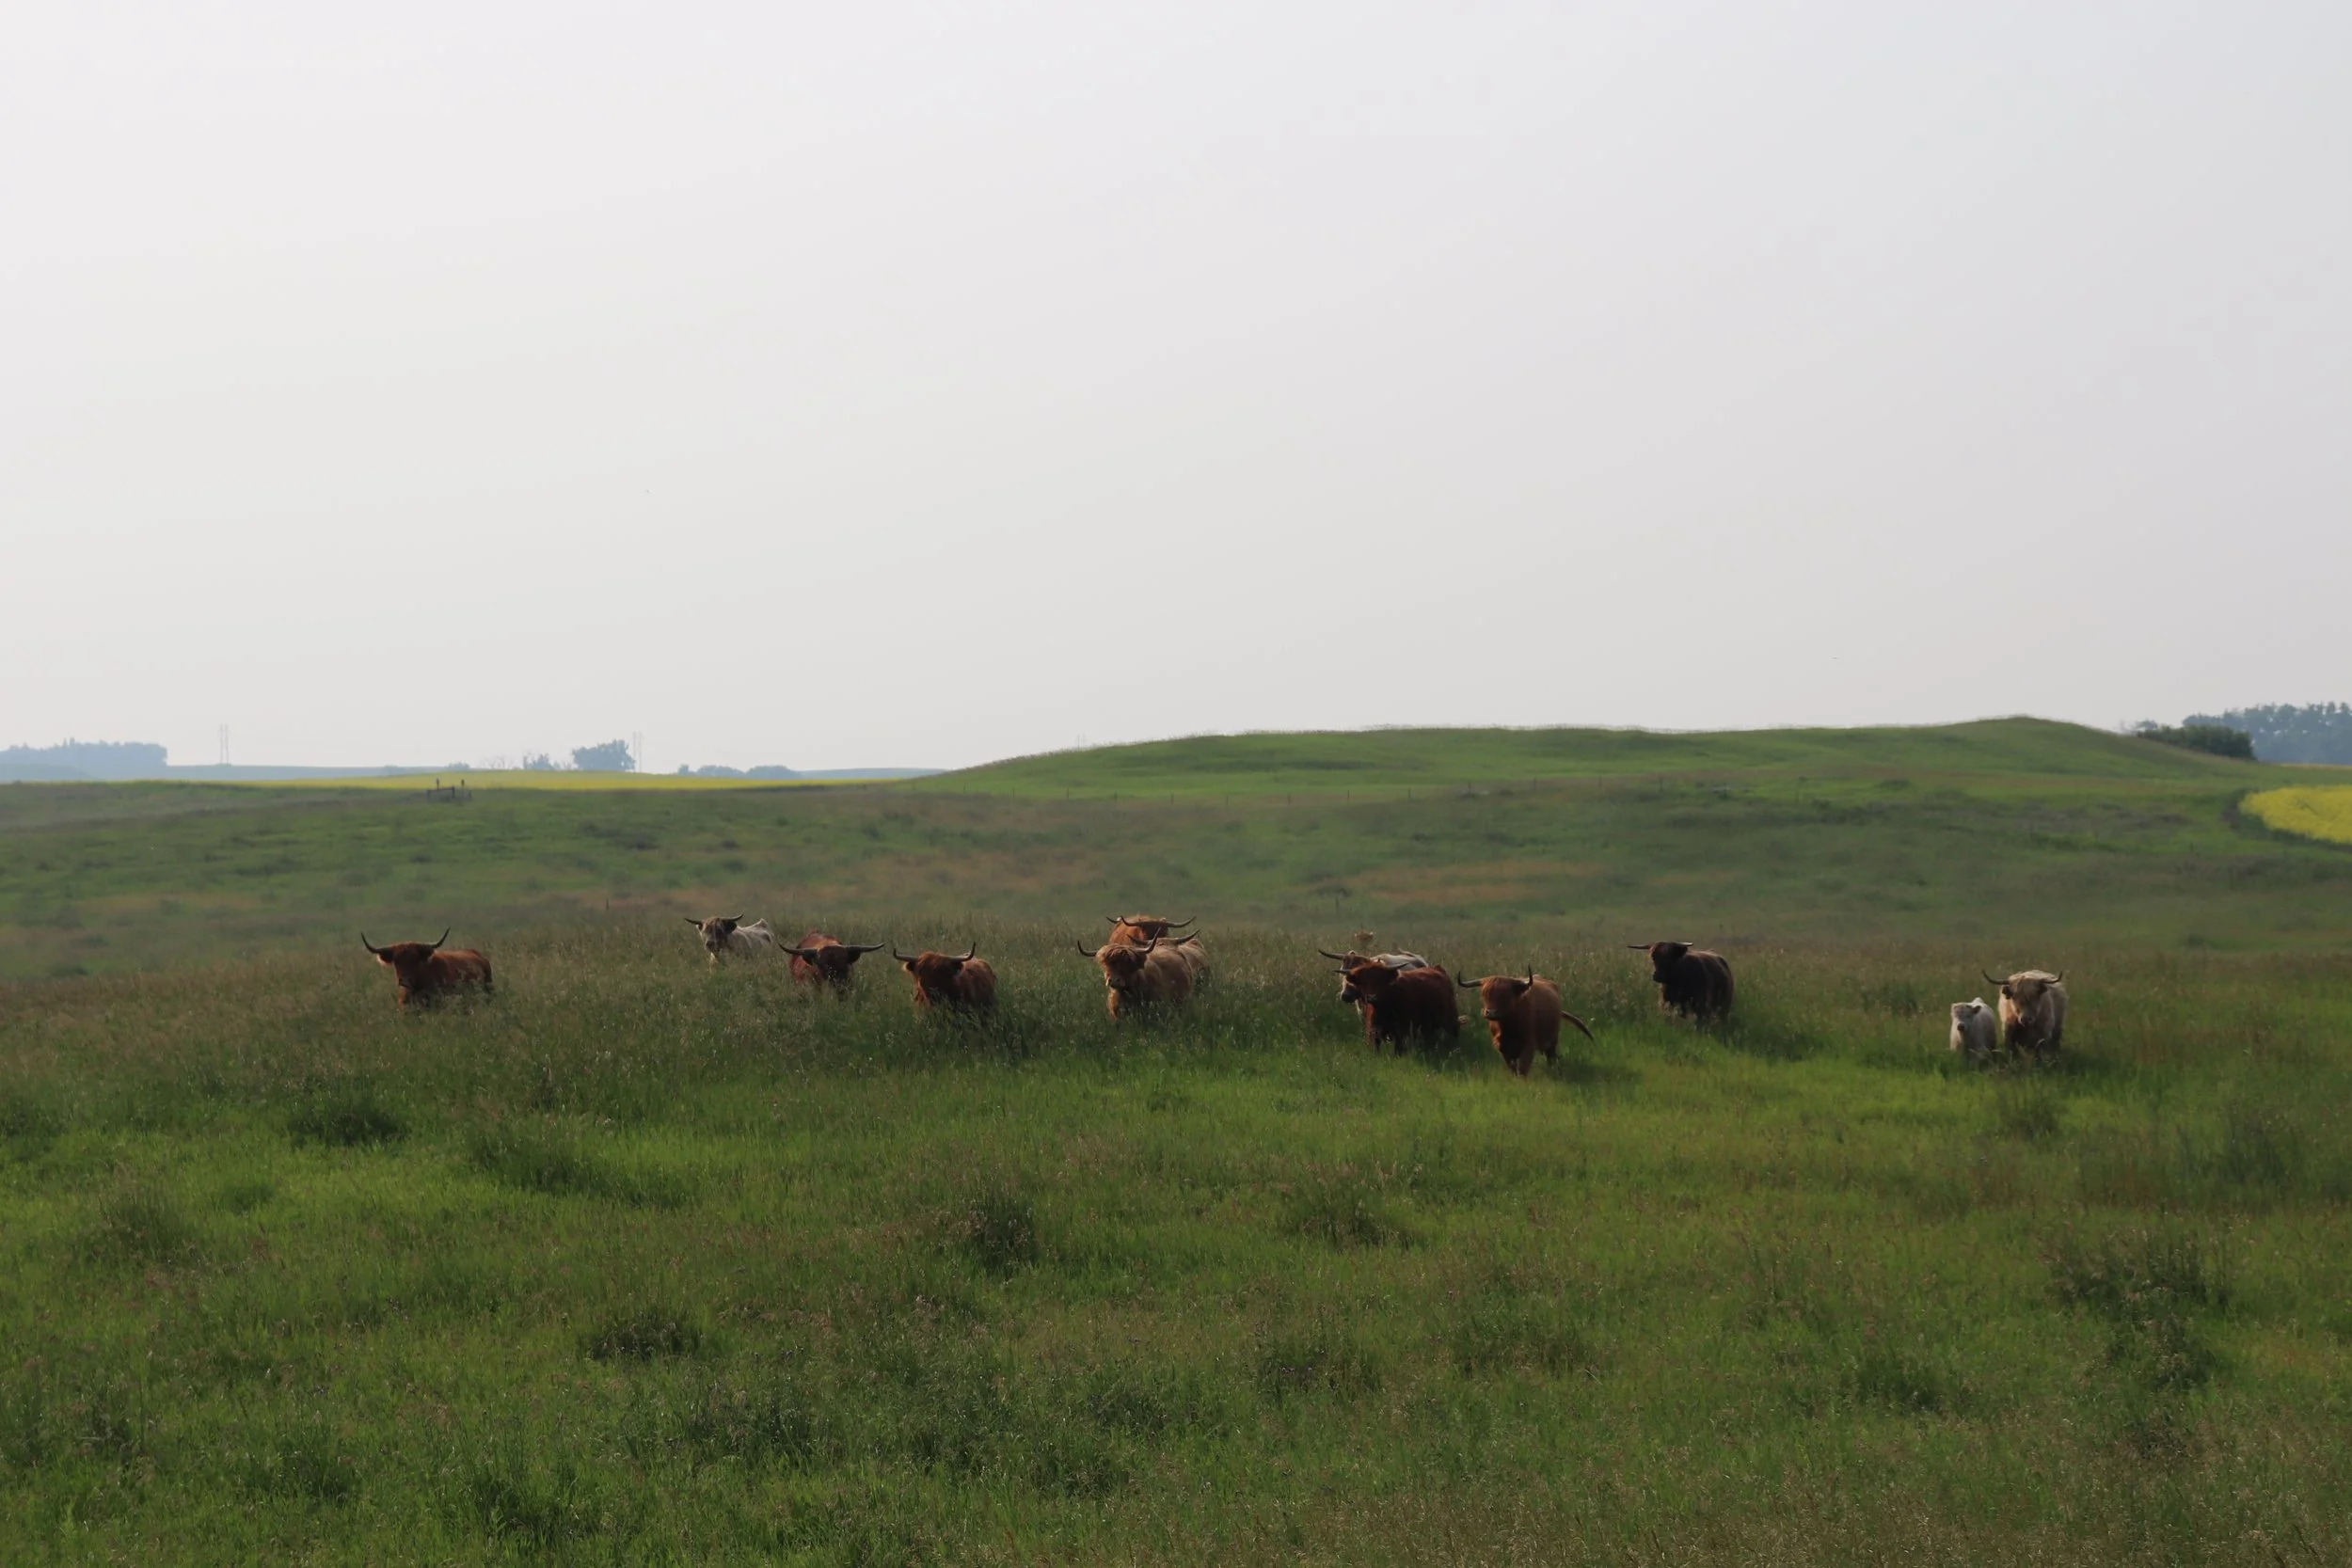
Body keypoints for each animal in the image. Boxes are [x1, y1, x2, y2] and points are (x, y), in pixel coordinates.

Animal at [1334, 958, 1461, 1054]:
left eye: (1381, 981)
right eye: (1362, 982)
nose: (1372, 997)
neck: (1383, 1009)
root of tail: (1437, 969)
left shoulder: (1402, 1031)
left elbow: (1398, 1050)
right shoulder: (1373, 1031)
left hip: (1450, 1019)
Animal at [1458, 971, 1594, 1077]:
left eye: (1505, 995)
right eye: (1484, 994)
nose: (1491, 1012)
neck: (1508, 1029)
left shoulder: (1528, 1045)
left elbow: (1523, 1068)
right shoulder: (1502, 1047)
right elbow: (1512, 1068)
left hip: (1552, 1040)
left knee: (1551, 1056)